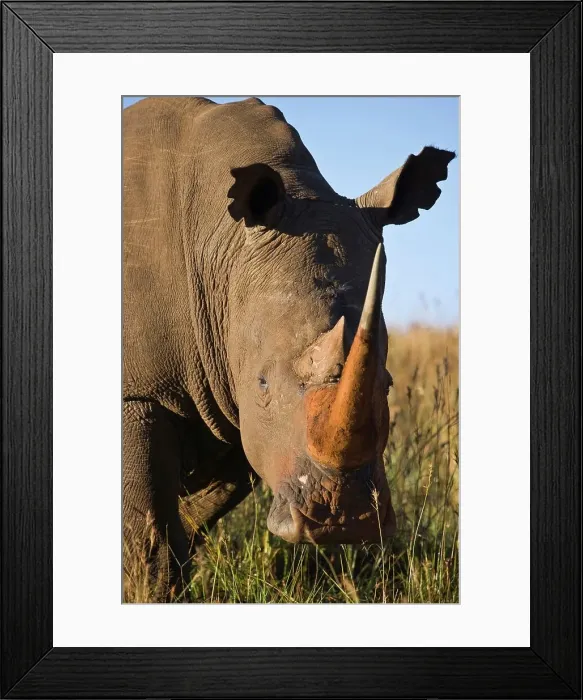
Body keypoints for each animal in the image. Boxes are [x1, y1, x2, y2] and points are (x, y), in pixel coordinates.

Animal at [123, 96, 454, 598]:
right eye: (261, 382)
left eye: (389, 383)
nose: (343, 521)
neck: (221, 247)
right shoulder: (142, 392)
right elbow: (149, 543)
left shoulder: (231, 397)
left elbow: (187, 520)